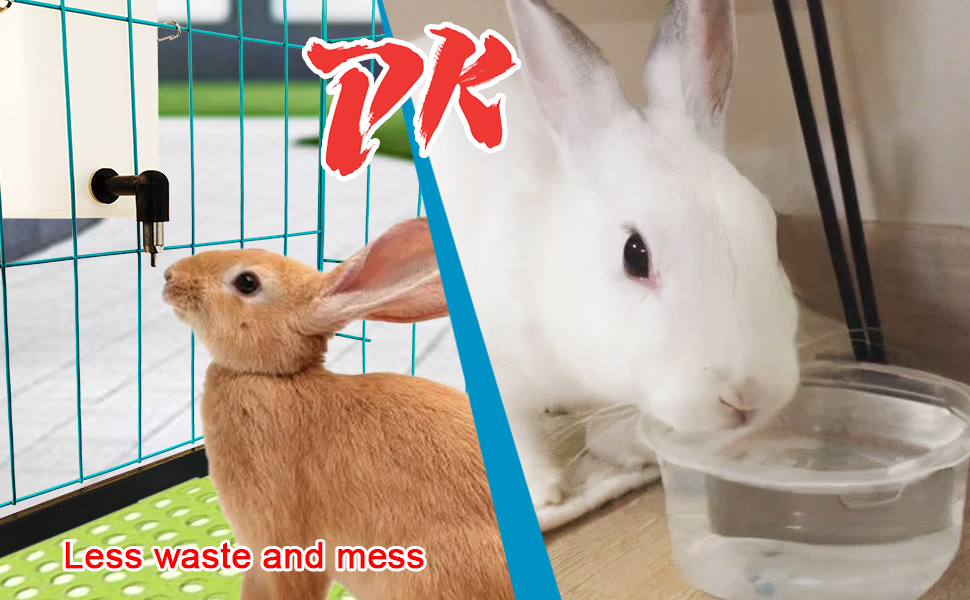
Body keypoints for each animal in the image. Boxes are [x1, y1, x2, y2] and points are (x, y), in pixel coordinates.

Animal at [424, 0, 801, 514]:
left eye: (770, 229)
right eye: (634, 255)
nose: (745, 394)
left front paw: (632, 449)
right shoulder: (496, 366)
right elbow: (514, 432)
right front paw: (545, 493)